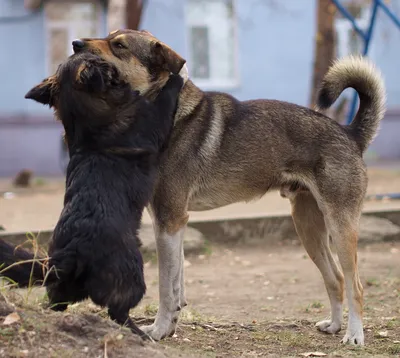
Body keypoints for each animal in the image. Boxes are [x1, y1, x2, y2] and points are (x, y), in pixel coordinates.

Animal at [0, 52, 184, 338]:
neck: (88, 122)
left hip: (59, 288)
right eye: (98, 60)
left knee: (55, 305)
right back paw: (140, 333)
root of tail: (70, 253)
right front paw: (176, 78)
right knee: (118, 313)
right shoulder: (153, 122)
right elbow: (165, 100)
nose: (78, 45)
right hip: (132, 276)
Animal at [70, 30, 386, 344]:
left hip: (340, 227)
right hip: (308, 229)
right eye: (110, 37)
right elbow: (178, 283)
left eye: (119, 45)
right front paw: (171, 324)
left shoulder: (169, 221)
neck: (168, 115)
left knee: (356, 285)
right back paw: (334, 325)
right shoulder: (172, 224)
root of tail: (350, 133)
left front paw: (159, 331)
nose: (76, 44)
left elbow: (165, 289)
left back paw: (354, 335)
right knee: (336, 279)